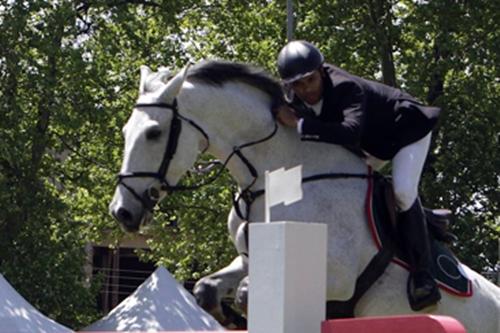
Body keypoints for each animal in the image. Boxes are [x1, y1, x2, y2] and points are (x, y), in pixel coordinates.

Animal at [109, 60, 500, 332]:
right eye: (126, 131)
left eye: (154, 133)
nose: (122, 212)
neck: (278, 176)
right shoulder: (252, 256)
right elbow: (208, 287)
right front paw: (224, 312)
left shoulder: (337, 277)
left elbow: (250, 292)